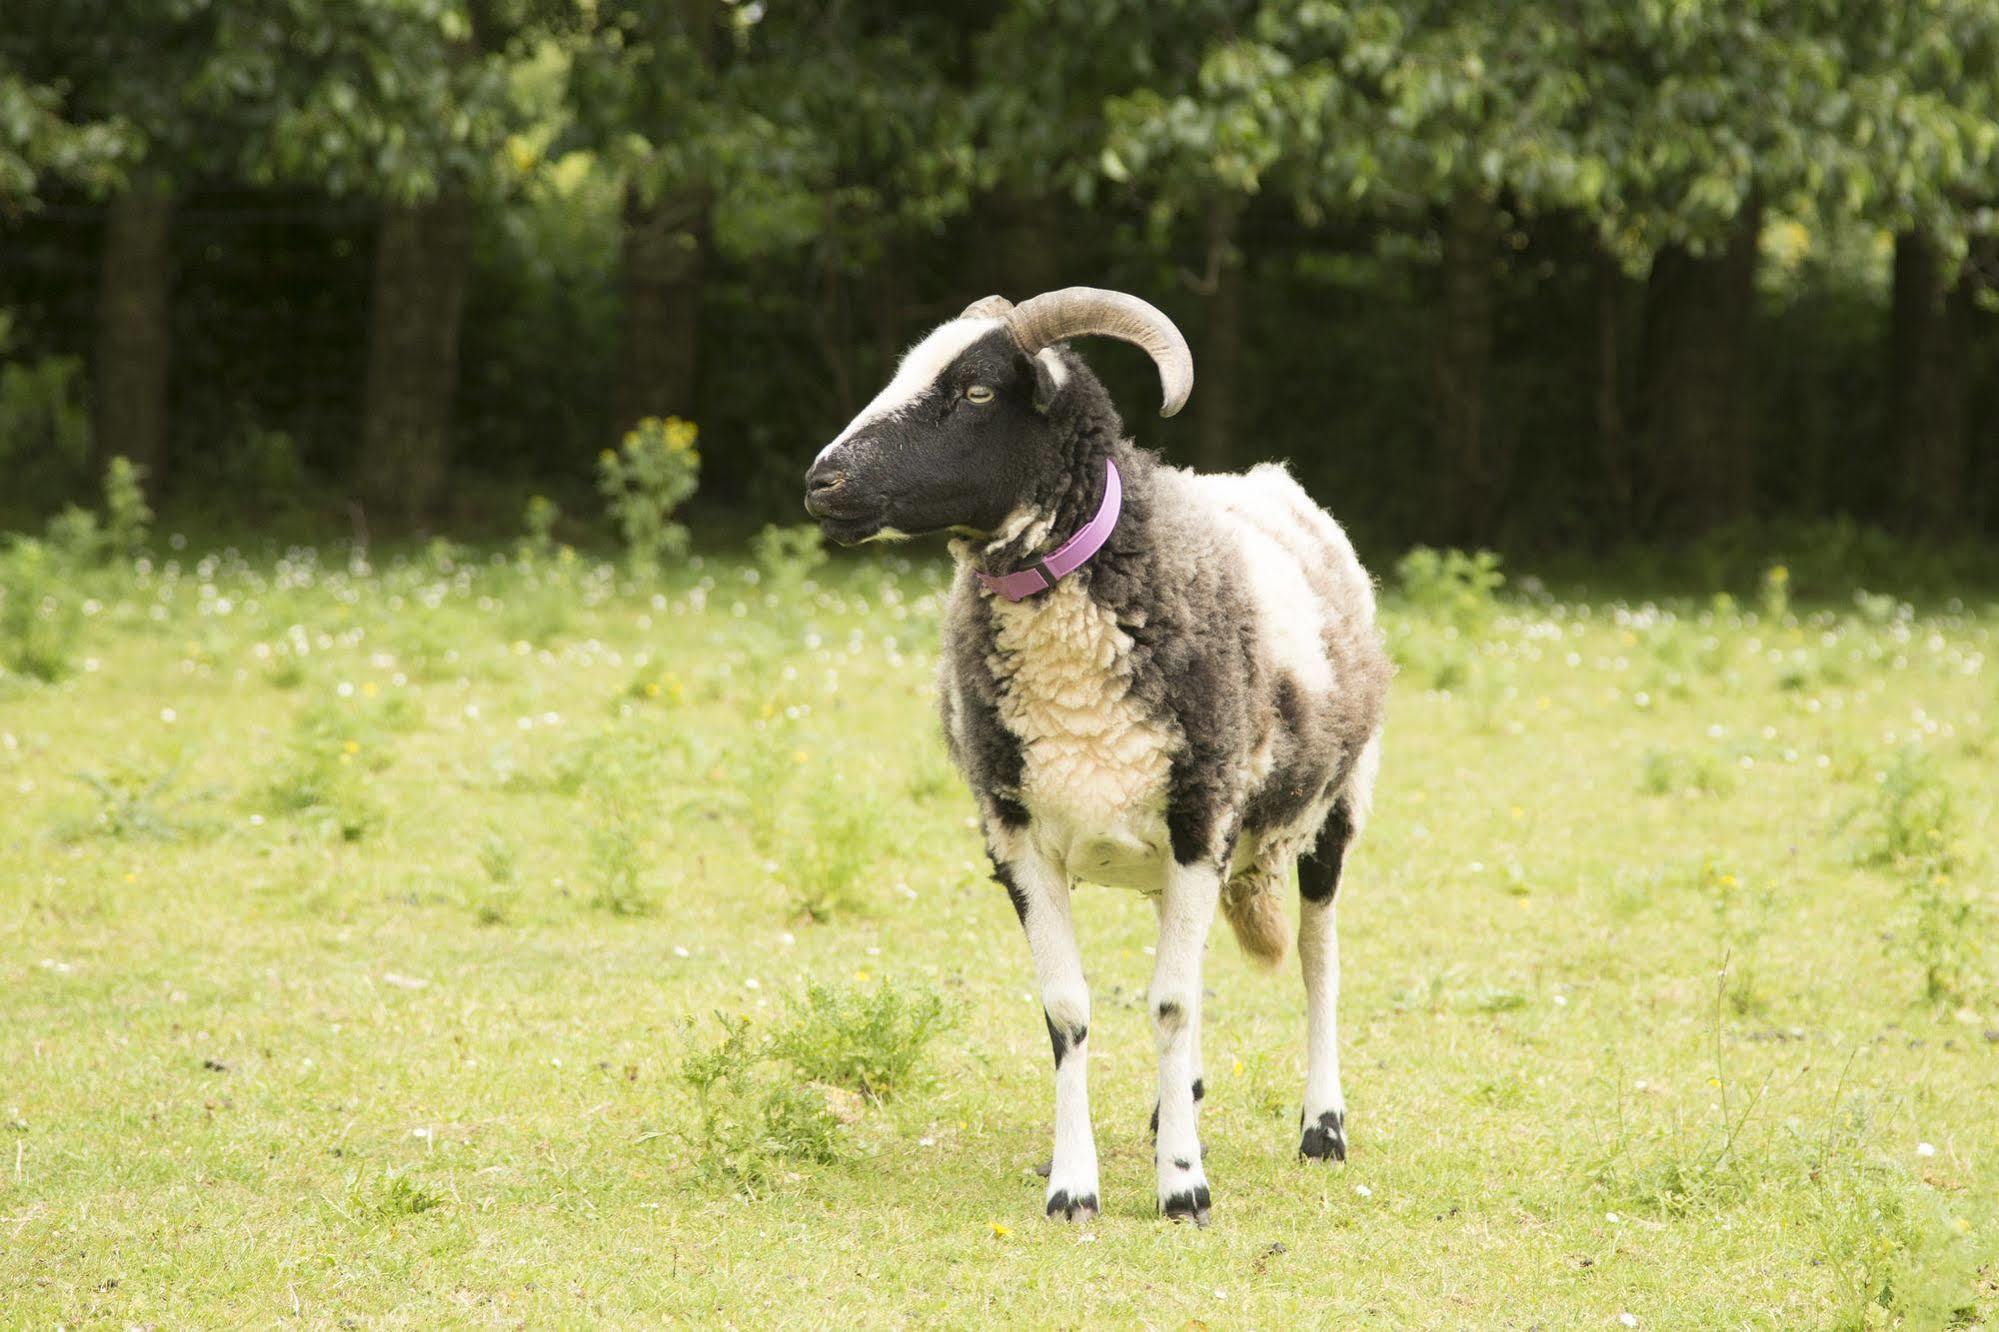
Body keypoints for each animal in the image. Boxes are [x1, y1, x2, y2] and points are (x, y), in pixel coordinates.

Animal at [799, 288, 1391, 1224]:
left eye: (975, 391)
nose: (821, 483)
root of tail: (1269, 478)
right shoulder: (1017, 839)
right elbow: (1071, 1011)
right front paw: (1074, 1186)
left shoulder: (1200, 822)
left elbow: (1172, 1002)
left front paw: (1183, 1188)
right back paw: (1174, 1110)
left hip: (1334, 809)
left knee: (1316, 962)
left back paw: (1320, 1128)